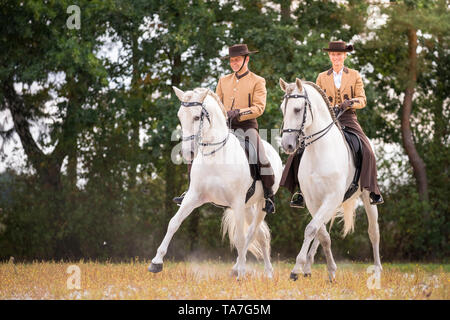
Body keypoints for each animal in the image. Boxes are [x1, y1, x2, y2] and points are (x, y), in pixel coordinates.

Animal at [149, 87, 282, 278]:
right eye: (180, 116)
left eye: (197, 117)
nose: (187, 152)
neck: (216, 155)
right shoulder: (194, 197)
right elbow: (173, 223)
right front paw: (156, 262)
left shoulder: (237, 202)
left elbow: (240, 238)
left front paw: (242, 274)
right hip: (248, 206)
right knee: (260, 235)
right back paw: (260, 271)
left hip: (260, 204)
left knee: (251, 233)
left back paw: (252, 271)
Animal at [280, 79, 382, 282]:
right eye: (282, 109)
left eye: (297, 109)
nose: (287, 145)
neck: (319, 150)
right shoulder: (313, 201)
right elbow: (321, 234)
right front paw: (329, 270)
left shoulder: (331, 197)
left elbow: (312, 229)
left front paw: (297, 269)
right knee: (323, 229)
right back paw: (309, 268)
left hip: (367, 198)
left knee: (373, 232)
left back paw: (377, 271)